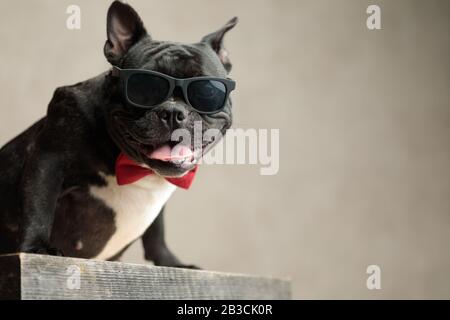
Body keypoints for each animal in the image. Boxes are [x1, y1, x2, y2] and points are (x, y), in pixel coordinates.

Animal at [0, 0, 239, 268]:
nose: (173, 112)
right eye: (143, 89)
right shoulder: (48, 157)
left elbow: (157, 232)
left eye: (207, 91)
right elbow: (39, 205)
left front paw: (170, 262)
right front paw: (36, 248)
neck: (137, 168)